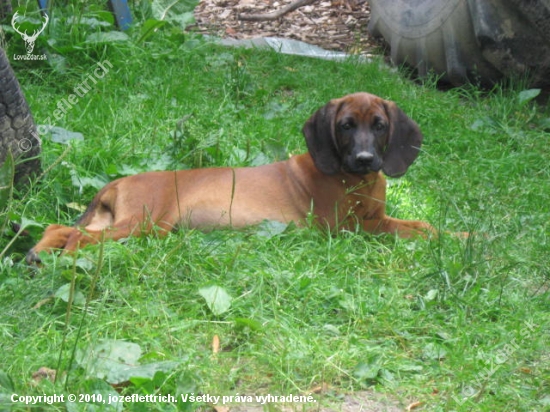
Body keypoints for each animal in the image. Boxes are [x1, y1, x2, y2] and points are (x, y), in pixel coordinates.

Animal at [25, 92, 438, 264]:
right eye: (346, 126)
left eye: (380, 125)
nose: (366, 159)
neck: (357, 181)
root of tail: (116, 182)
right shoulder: (350, 228)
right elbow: (408, 229)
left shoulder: (372, 217)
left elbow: (421, 224)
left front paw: (449, 233)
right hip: (142, 224)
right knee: (77, 237)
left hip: (120, 222)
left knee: (58, 228)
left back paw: (37, 255)